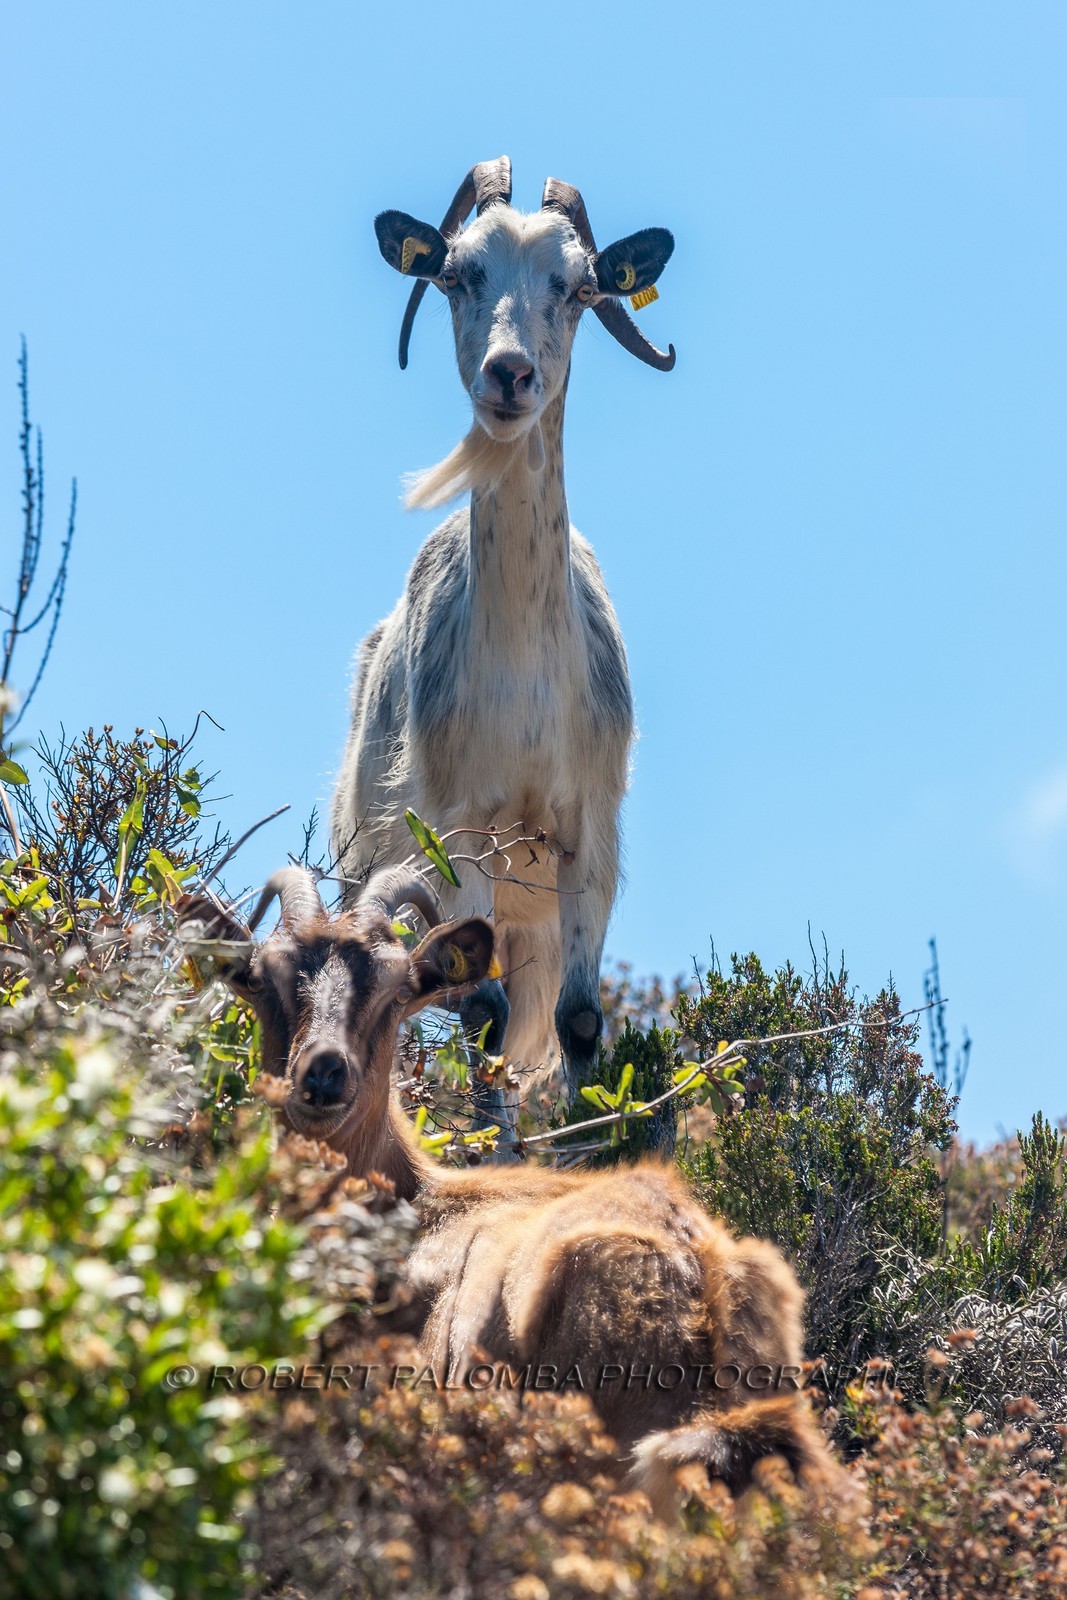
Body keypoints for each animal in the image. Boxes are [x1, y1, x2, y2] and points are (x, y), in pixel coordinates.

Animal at [330, 158, 677, 1119]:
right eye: (458, 273)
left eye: (578, 285)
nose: (510, 373)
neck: (525, 683)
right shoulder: (457, 829)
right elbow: (479, 1013)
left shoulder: (587, 835)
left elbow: (579, 1020)